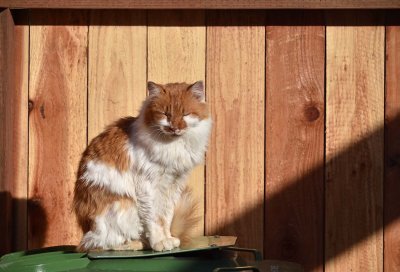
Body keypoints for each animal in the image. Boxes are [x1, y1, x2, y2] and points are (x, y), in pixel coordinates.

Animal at [72, 81, 211, 253]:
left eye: (185, 114)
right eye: (166, 114)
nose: (175, 128)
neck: (173, 145)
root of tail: (85, 230)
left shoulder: (173, 187)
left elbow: (166, 218)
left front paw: (168, 239)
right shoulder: (147, 186)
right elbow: (154, 220)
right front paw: (159, 242)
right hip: (123, 207)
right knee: (103, 244)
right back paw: (137, 244)